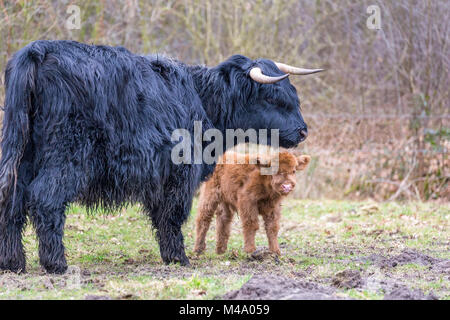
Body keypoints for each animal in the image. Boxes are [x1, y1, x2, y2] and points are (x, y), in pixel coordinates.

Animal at [0, 40, 324, 272]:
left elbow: (163, 214)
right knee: (45, 198)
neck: (203, 100)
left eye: (293, 95)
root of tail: (39, 50)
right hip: (67, 154)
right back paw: (56, 263)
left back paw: (13, 263)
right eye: (273, 98)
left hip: (22, 153)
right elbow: (173, 214)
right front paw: (178, 257)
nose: (303, 131)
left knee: (11, 200)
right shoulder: (180, 171)